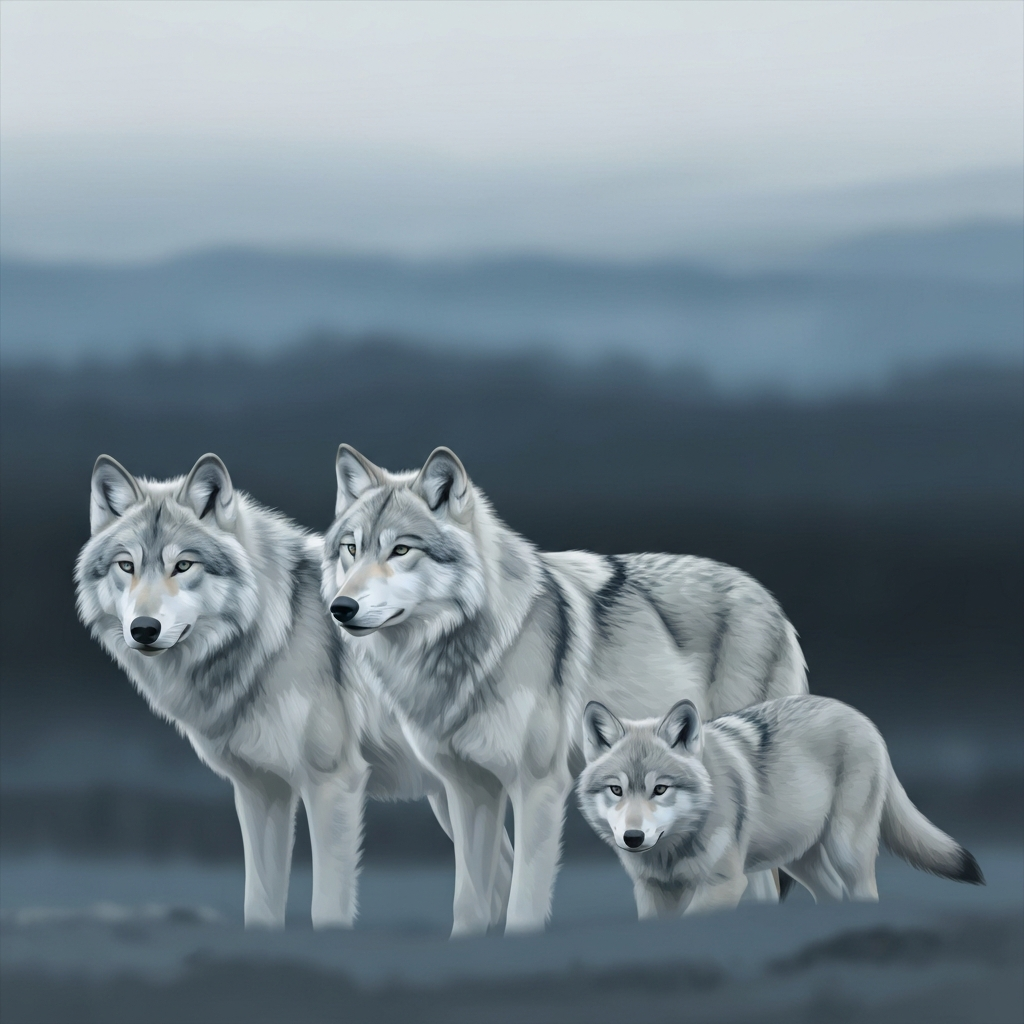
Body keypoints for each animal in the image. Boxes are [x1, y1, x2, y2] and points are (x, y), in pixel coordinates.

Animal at [75, 453, 467, 929]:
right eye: (126, 566)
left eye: (183, 566)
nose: (144, 629)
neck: (277, 633)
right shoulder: (260, 790)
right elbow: (260, 905)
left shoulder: (334, 783)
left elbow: (326, 908)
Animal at [322, 444, 809, 935]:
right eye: (351, 549)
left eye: (401, 549)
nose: (340, 607)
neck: (463, 652)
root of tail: (767, 596)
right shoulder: (467, 790)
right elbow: (470, 900)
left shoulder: (538, 786)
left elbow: (523, 903)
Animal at [577, 695, 984, 917]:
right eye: (616, 790)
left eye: (660, 789)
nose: (633, 837)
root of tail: (858, 715)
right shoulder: (651, 891)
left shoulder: (724, 884)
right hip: (799, 859)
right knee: (832, 895)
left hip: (845, 850)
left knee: (863, 893)